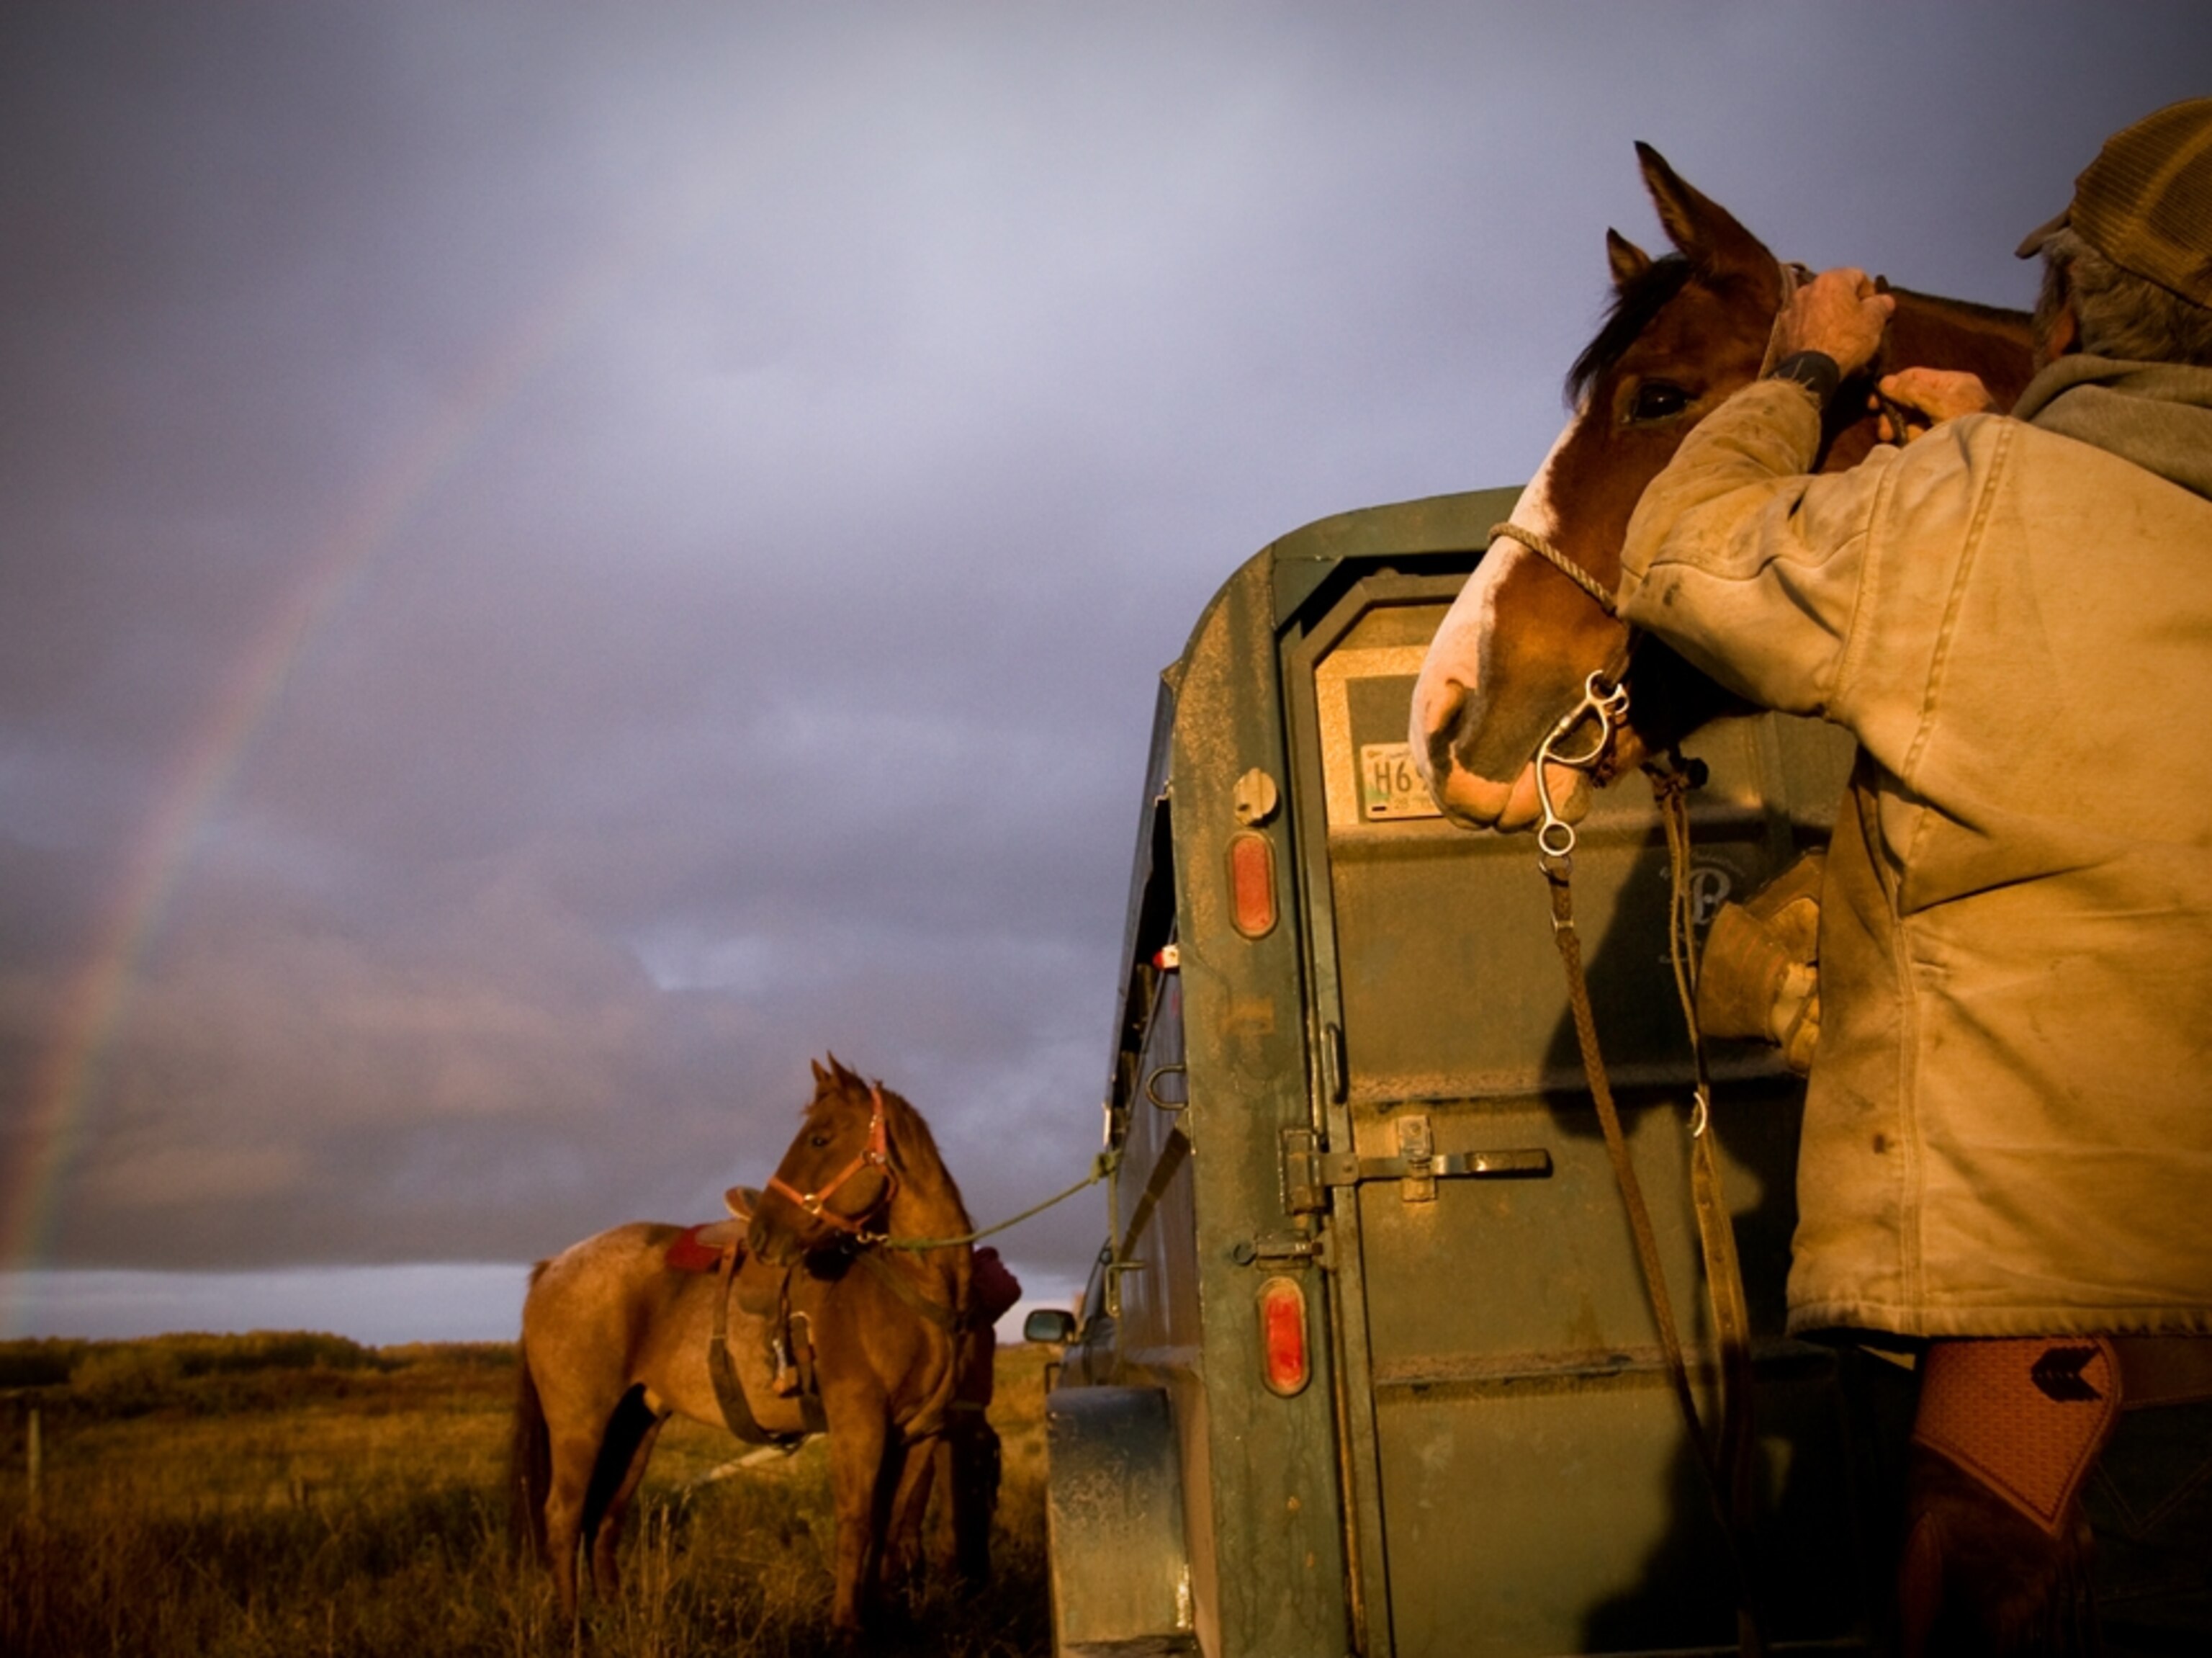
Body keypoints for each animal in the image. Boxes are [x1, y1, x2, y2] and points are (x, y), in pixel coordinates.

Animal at [510, 1056, 988, 1640]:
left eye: (820, 1138)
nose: (762, 1235)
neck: (916, 1288)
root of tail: (555, 1266)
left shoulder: (918, 1433)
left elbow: (889, 1524)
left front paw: (874, 1621)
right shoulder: (859, 1424)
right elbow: (856, 1524)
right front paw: (845, 1630)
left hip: (635, 1423)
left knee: (605, 1514)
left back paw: (613, 1616)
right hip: (579, 1423)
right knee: (563, 1515)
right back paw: (572, 1628)